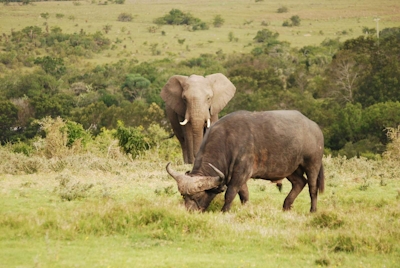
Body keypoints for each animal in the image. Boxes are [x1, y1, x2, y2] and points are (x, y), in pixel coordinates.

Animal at [166, 110, 324, 213]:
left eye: (198, 196)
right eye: (184, 195)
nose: (189, 211)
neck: (227, 141)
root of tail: (315, 128)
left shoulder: (240, 173)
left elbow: (230, 194)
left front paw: (224, 211)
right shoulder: (237, 176)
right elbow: (244, 195)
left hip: (312, 164)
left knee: (312, 187)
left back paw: (313, 210)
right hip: (290, 168)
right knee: (299, 182)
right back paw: (286, 207)